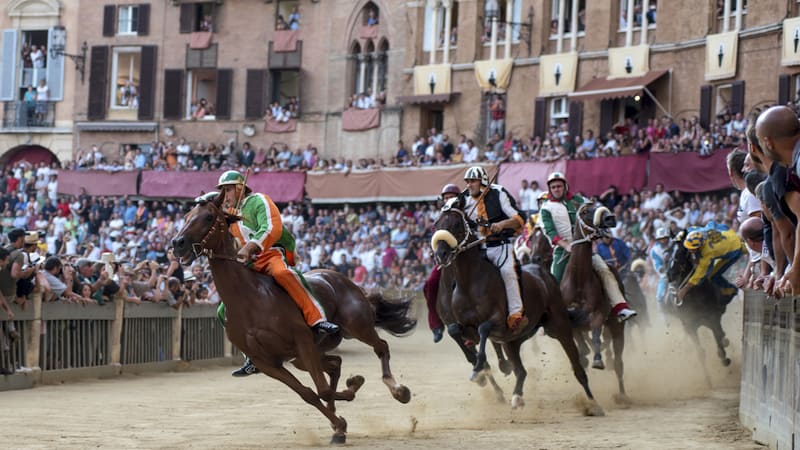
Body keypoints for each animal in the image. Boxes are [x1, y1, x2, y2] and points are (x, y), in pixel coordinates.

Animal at [171, 195, 416, 444]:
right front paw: (339, 421)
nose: (177, 242)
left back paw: (398, 390)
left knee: (380, 347)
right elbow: (309, 394)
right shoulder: (267, 362)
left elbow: (322, 390)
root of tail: (341, 279)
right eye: (187, 216)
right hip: (304, 356)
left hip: (357, 326)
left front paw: (343, 413)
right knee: (335, 364)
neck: (248, 299)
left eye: (208, 216)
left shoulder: (302, 341)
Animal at [428, 197, 604, 414]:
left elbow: (484, 328)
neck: (469, 282)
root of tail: (543, 273)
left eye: (455, 224)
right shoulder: (467, 328)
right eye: (437, 224)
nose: (441, 254)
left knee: (578, 367)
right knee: (521, 371)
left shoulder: (498, 322)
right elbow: (454, 330)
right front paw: (479, 368)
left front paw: (478, 369)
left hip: (559, 327)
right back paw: (517, 397)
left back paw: (593, 403)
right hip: (514, 340)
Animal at [564, 204, 632, 404]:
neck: (579, 280)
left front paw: (597, 360)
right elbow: (580, 342)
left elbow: (595, 336)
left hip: (617, 327)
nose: (610, 218)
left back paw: (622, 396)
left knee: (618, 363)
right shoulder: (569, 320)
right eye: (586, 211)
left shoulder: (598, 314)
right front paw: (585, 356)